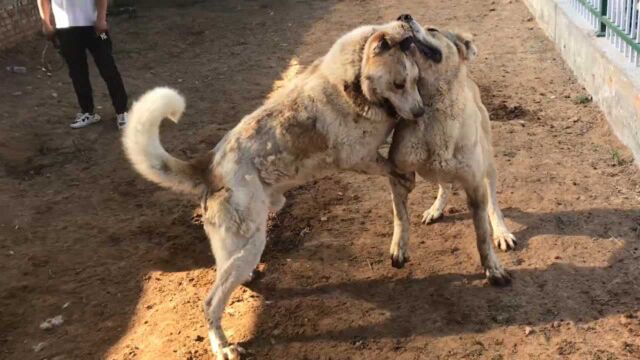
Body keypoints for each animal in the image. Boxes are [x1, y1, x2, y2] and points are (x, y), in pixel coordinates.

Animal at [124, 20, 436, 360]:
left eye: (417, 80)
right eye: (398, 84)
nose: (420, 113)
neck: (353, 78)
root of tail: (208, 167)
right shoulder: (357, 157)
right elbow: (391, 168)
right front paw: (405, 179)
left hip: (237, 247)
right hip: (249, 244)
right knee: (210, 302)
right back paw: (223, 346)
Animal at [384, 15, 516, 286]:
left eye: (433, 29)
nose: (403, 16)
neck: (434, 107)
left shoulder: (475, 185)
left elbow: (482, 235)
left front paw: (493, 269)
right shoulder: (398, 174)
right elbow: (400, 215)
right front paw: (399, 248)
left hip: (488, 166)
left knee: (493, 202)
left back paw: (501, 231)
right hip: (433, 171)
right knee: (444, 185)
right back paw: (436, 209)